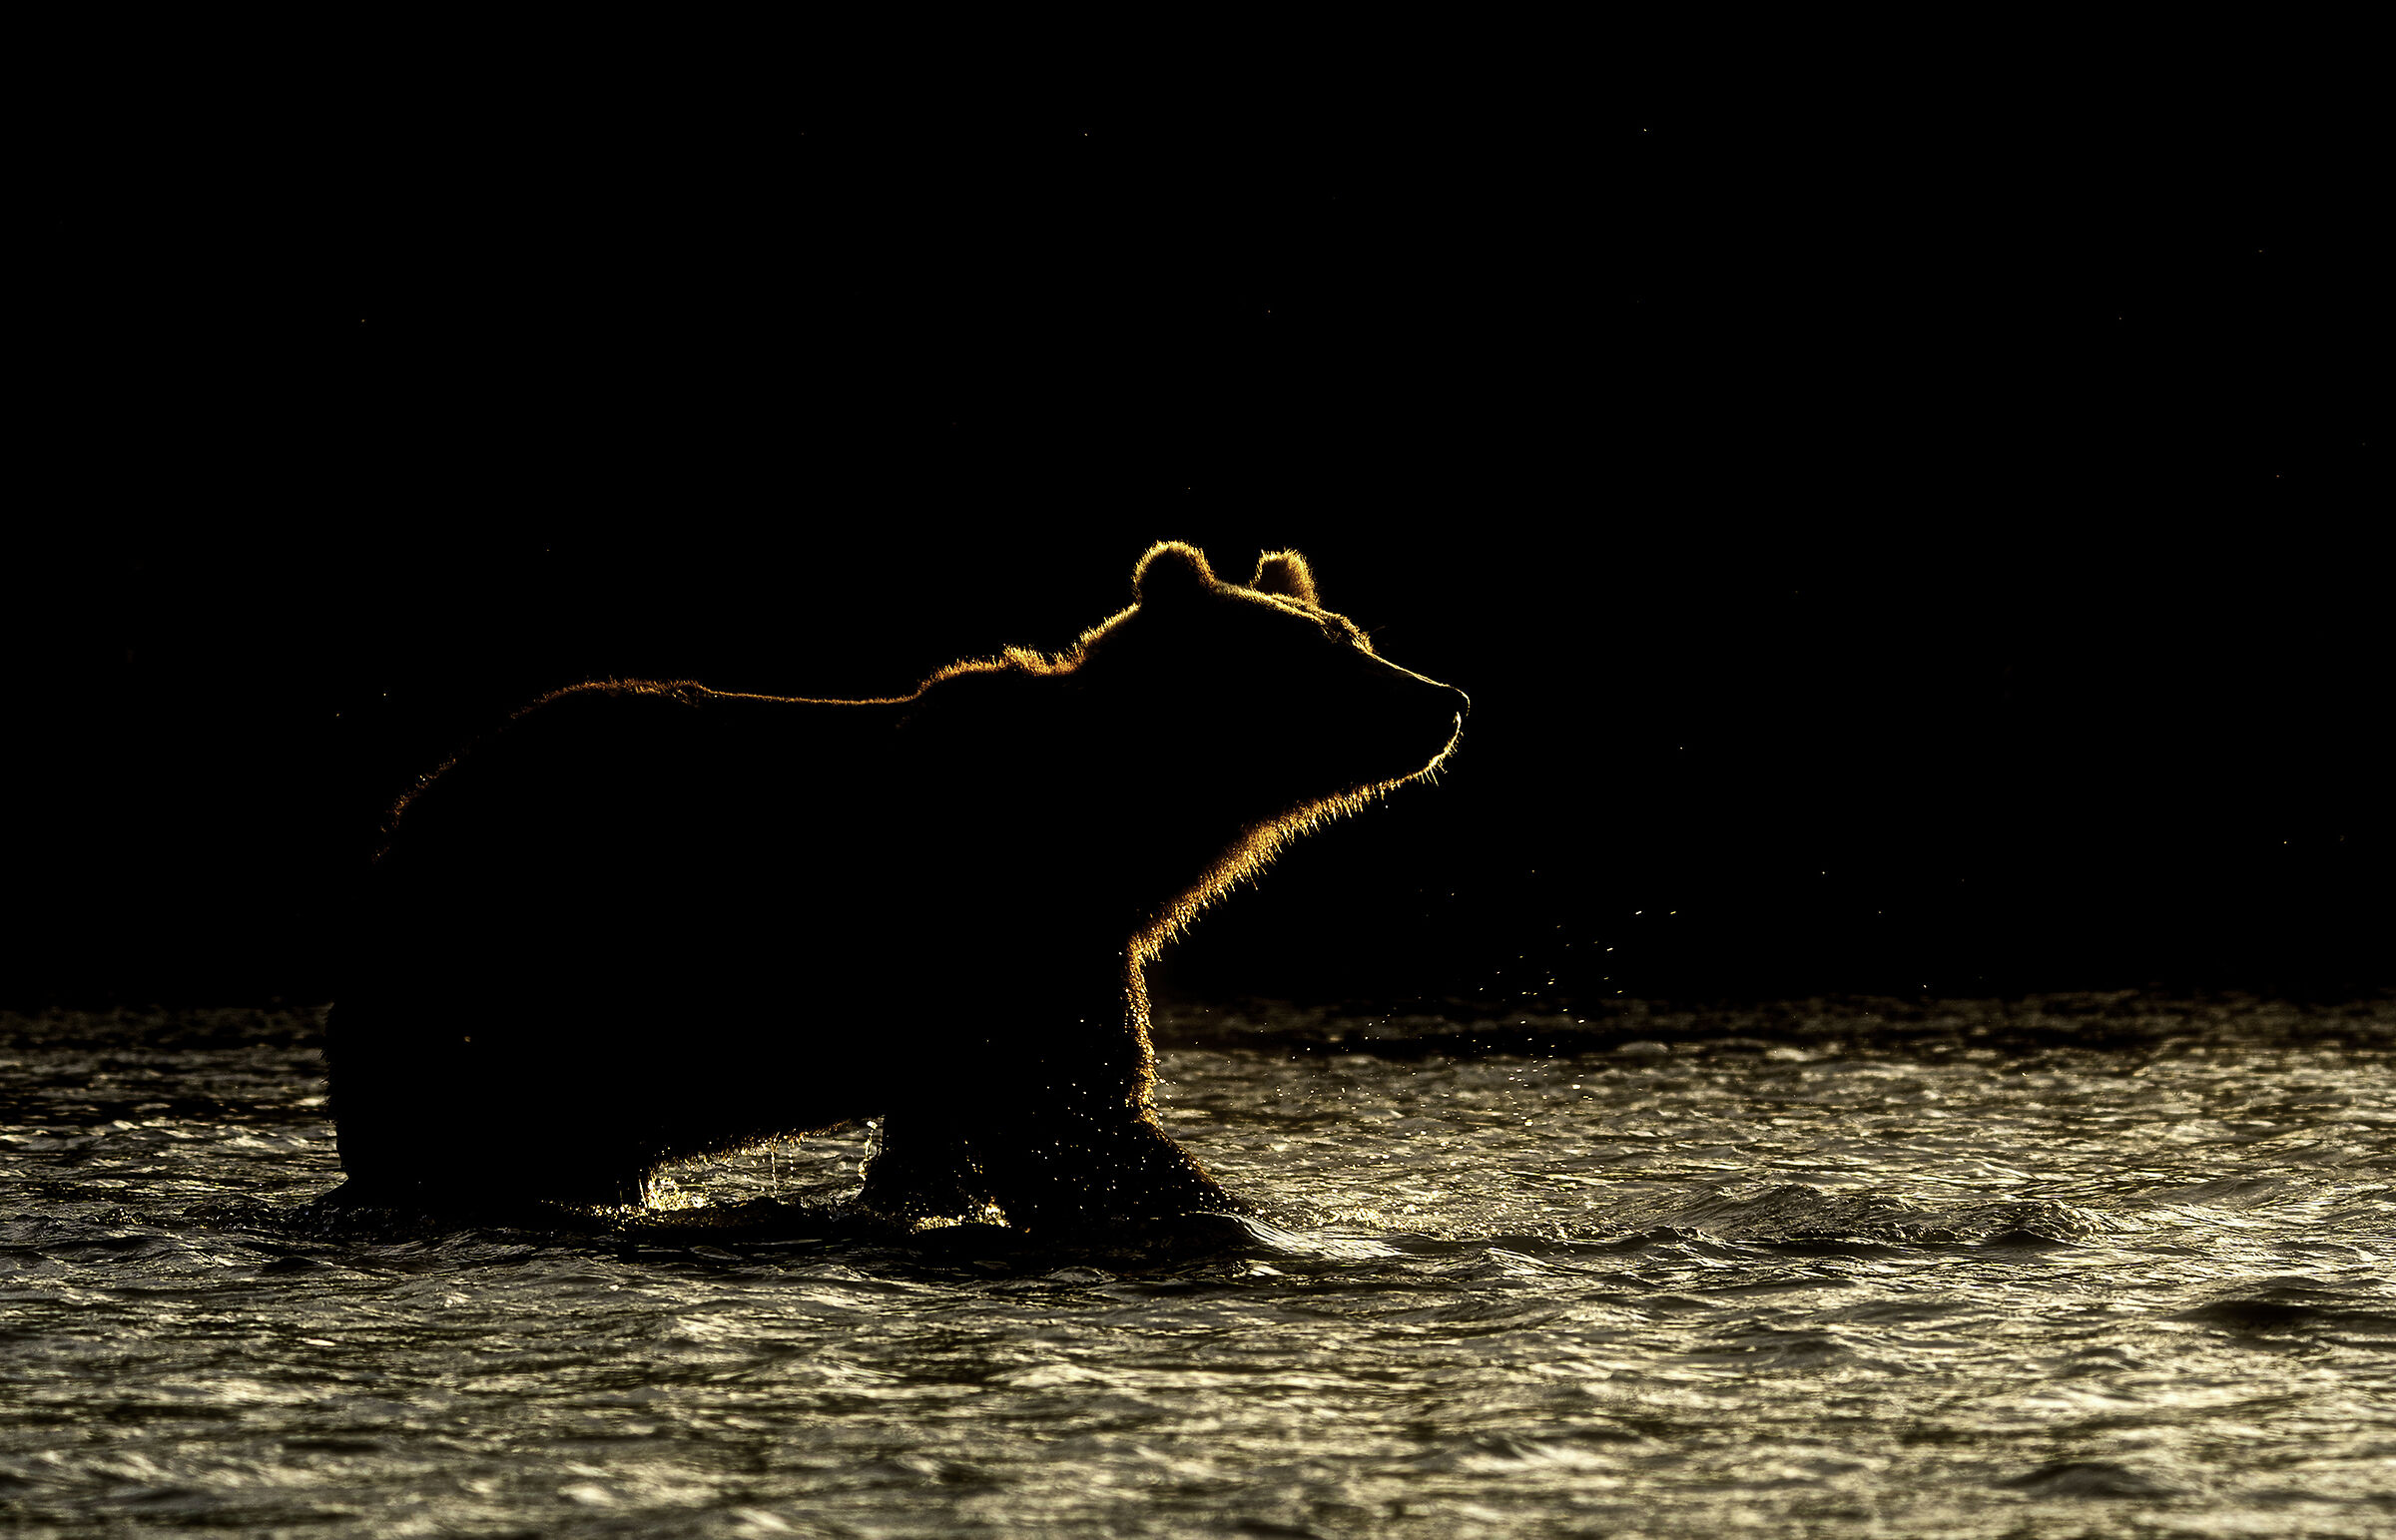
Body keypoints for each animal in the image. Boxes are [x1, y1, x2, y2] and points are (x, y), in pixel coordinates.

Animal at [325, 541, 1466, 1230]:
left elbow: (949, 1135)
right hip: (524, 966)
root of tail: (409, 811)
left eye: (1357, 634)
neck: (1114, 823)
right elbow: (1075, 1120)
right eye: (1324, 652)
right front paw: (1228, 1213)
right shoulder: (1014, 927)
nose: (1443, 698)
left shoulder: (1002, 982)